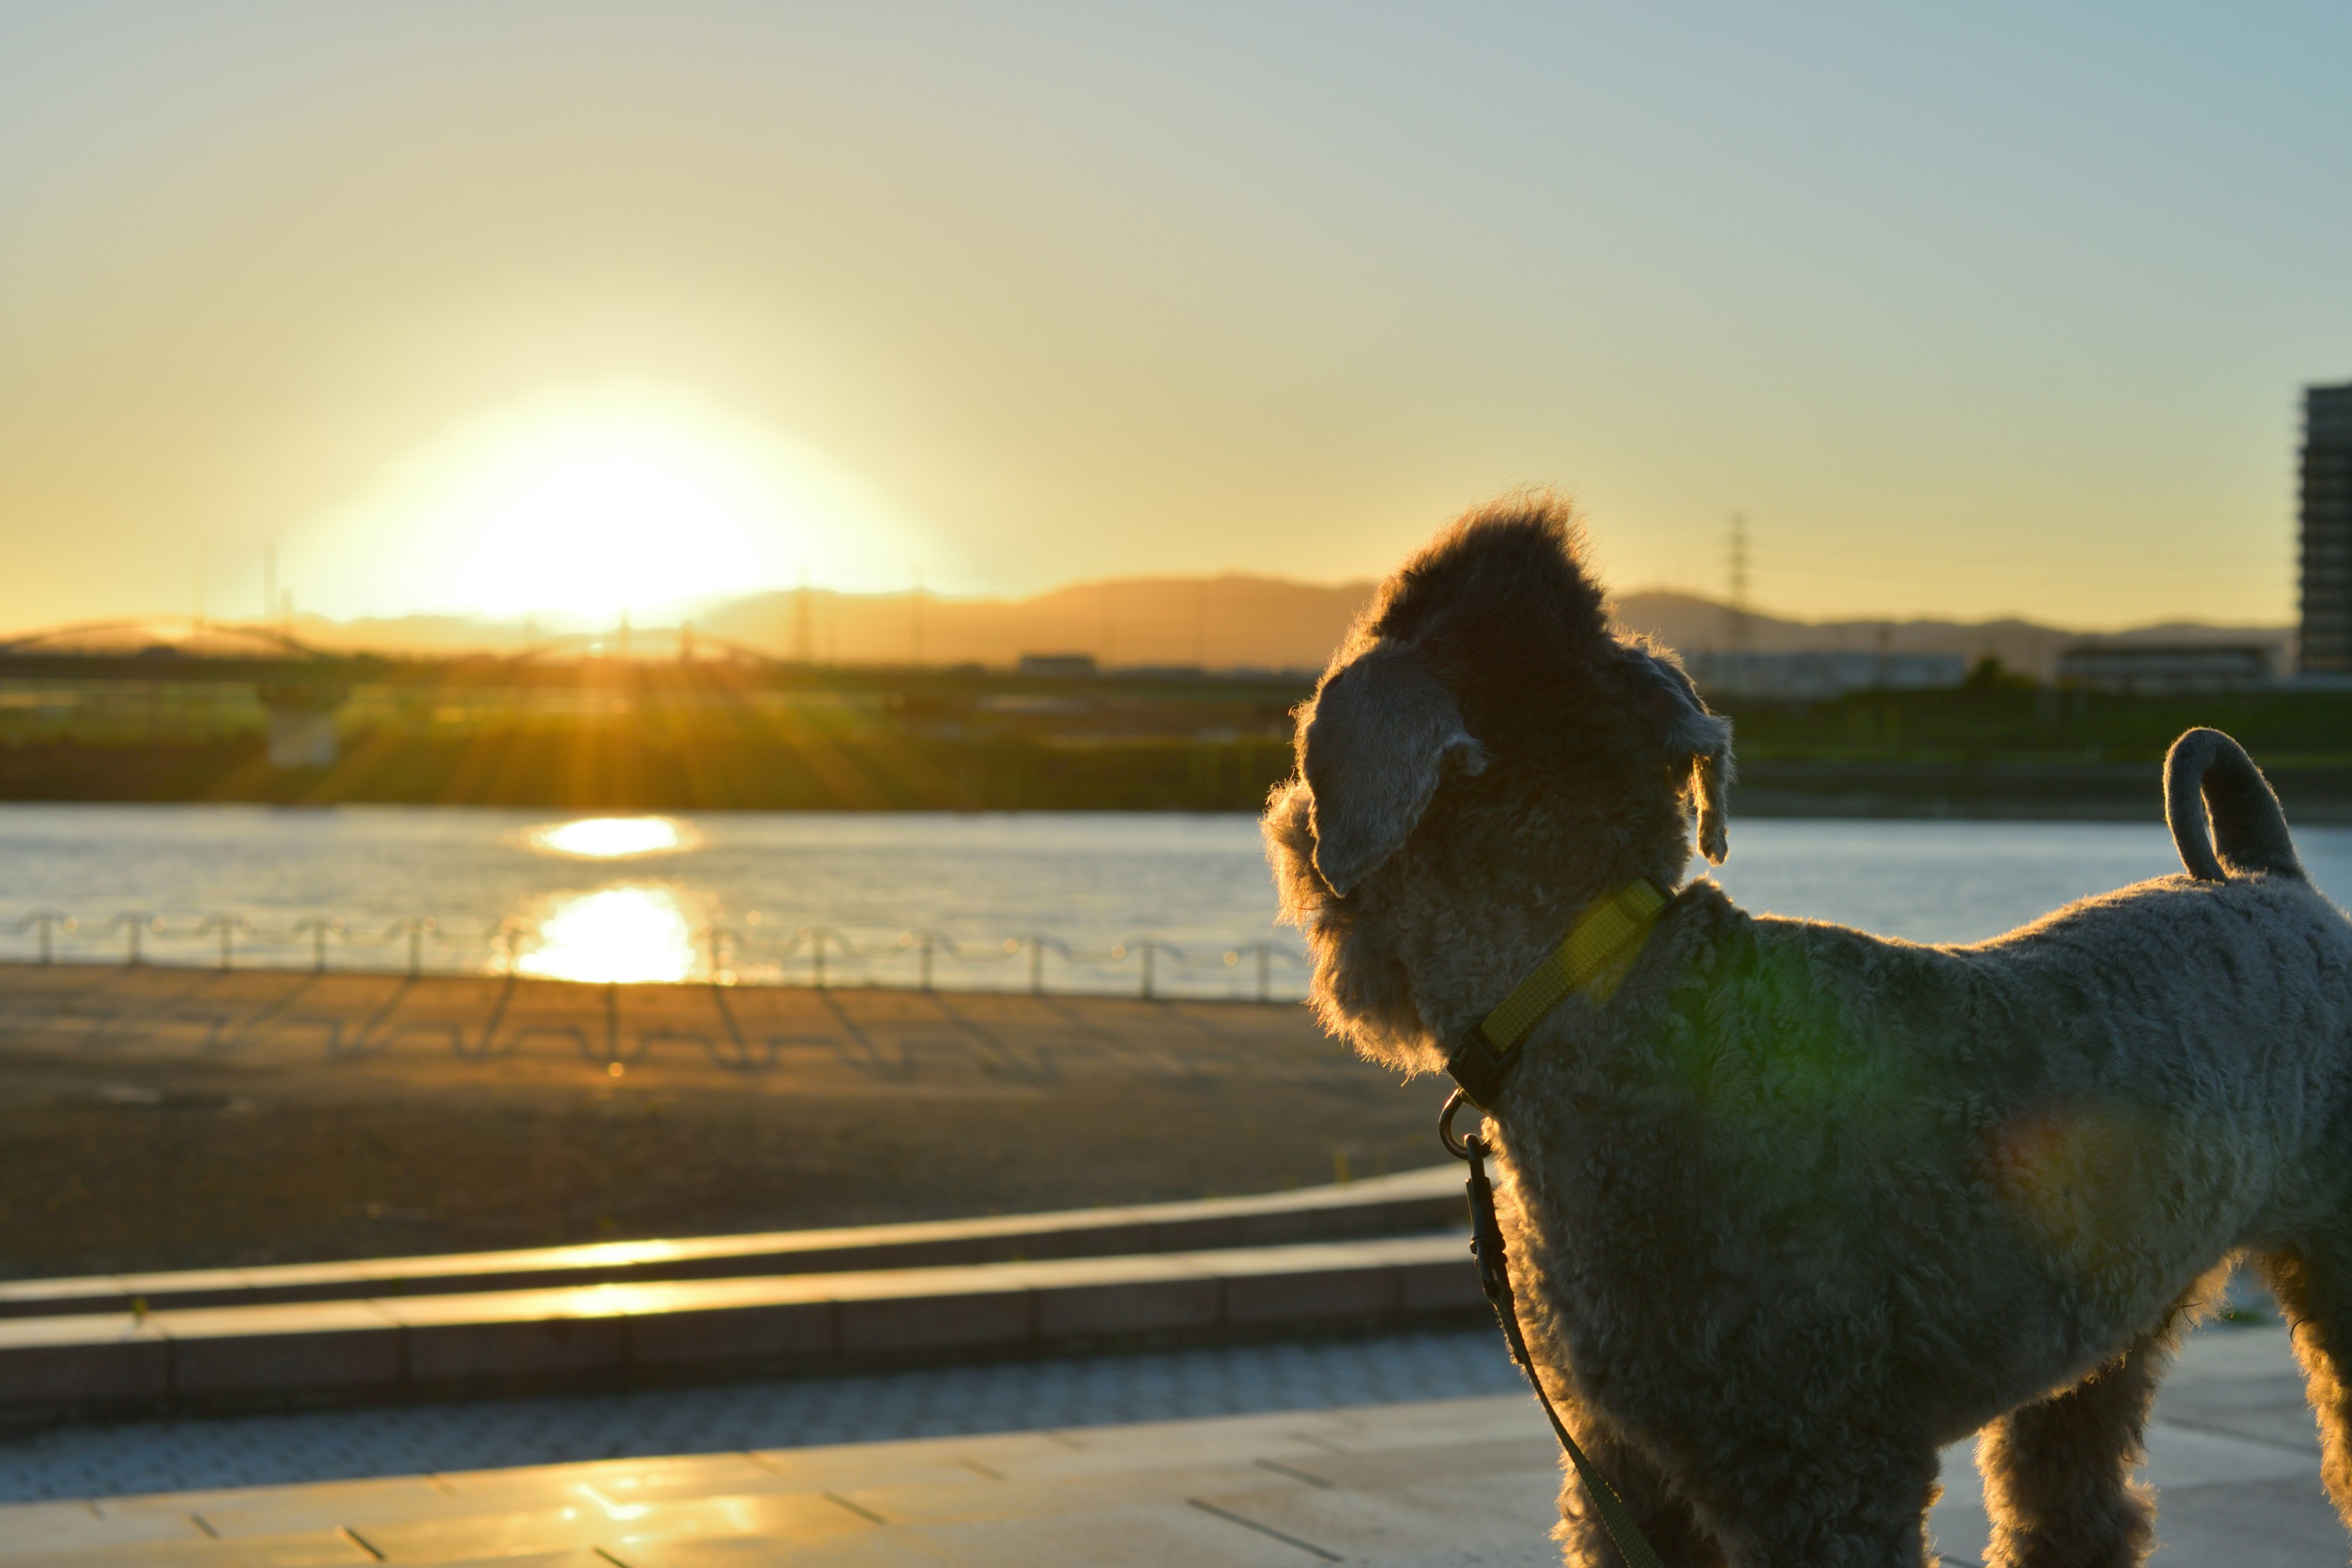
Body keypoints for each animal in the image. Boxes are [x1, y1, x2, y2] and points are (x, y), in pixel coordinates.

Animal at [1270, 493, 2352, 1568]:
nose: (1292, 836)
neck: (1608, 987)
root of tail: (2275, 879)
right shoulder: (1629, 1461)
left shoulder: (1817, 1464)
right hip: (2111, 1329)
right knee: (2084, 1504)